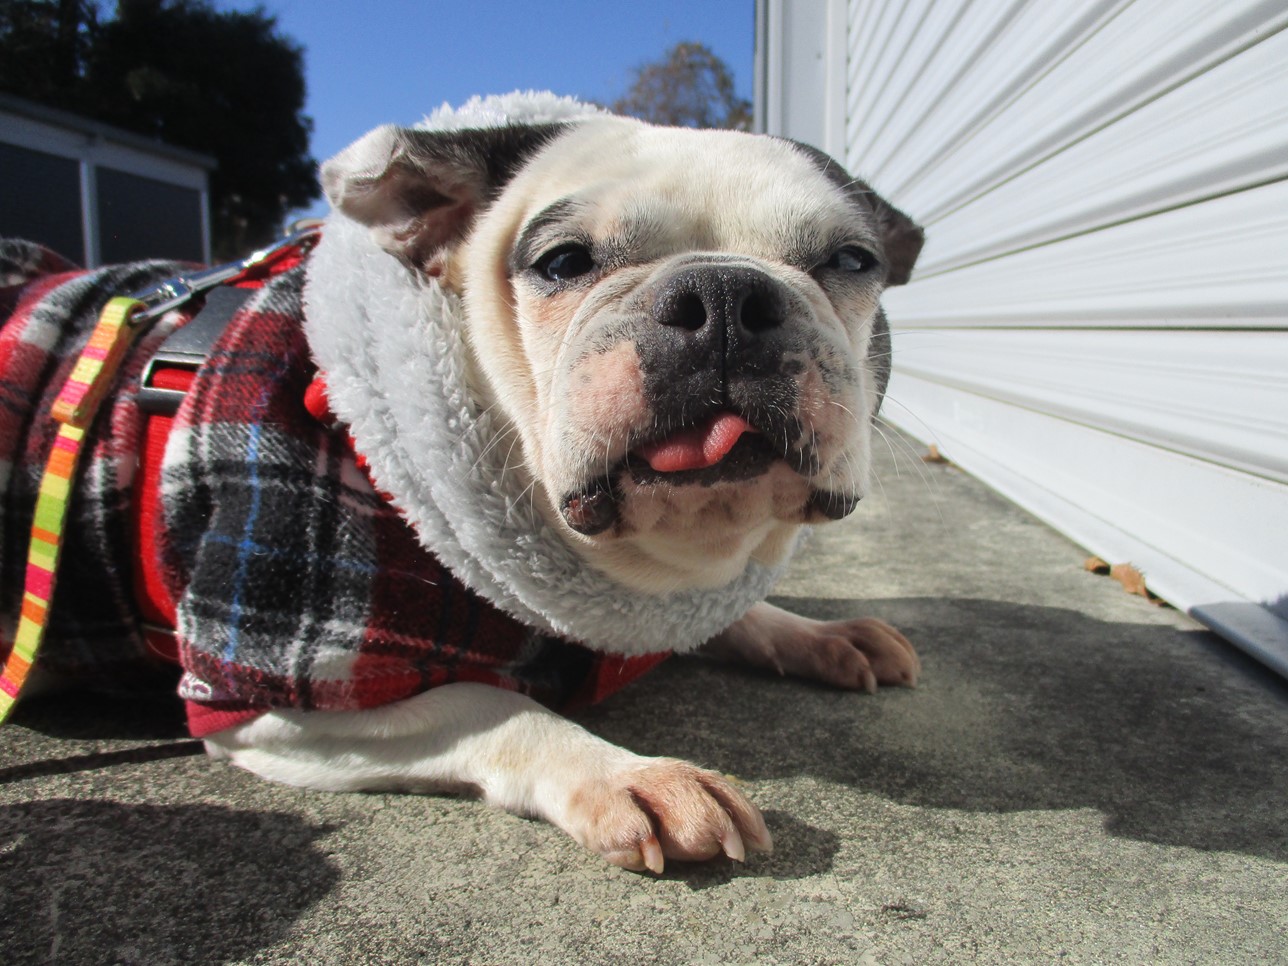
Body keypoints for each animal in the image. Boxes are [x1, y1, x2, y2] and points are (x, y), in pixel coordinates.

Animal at [1, 93, 922, 873]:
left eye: (852, 259)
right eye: (563, 261)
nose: (723, 293)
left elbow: (735, 619)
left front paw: (814, 632)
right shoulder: (278, 694)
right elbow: (487, 703)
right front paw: (629, 776)